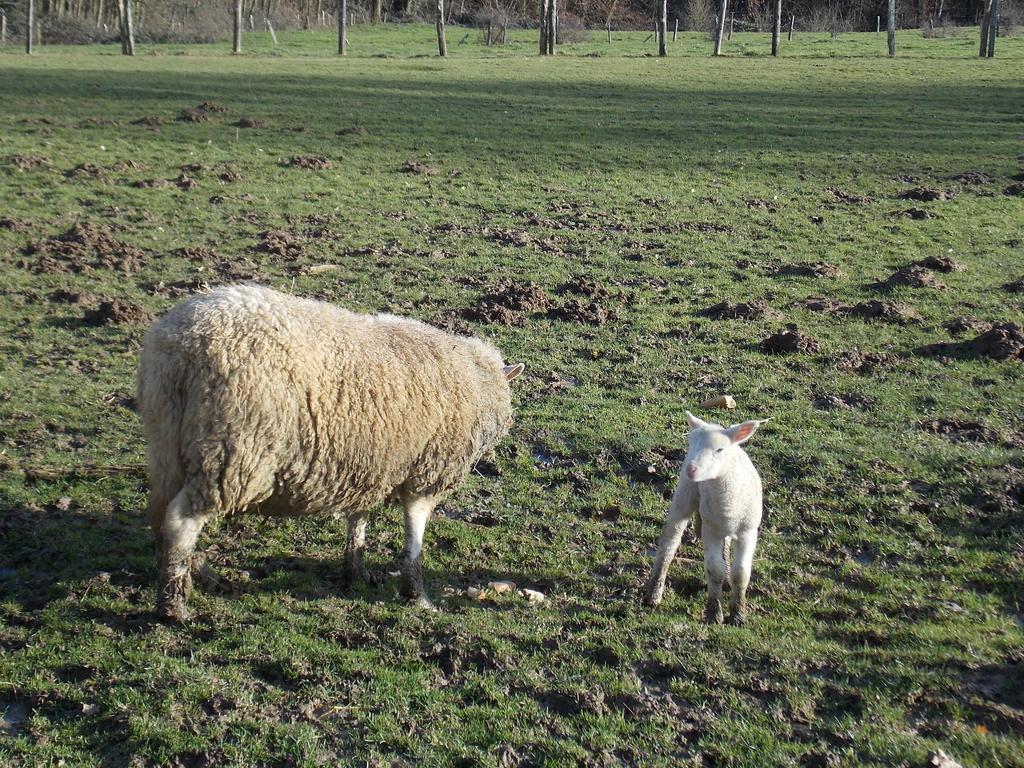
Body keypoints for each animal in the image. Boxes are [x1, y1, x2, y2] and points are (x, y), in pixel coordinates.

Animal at [139, 286, 524, 622]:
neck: (476, 381)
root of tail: (182, 344)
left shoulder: (370, 465)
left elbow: (358, 520)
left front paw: (357, 570)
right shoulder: (425, 474)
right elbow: (414, 536)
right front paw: (417, 595)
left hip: (168, 445)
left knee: (161, 517)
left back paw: (196, 576)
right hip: (232, 452)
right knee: (181, 522)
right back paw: (174, 607)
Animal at [638, 411, 770, 622]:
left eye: (720, 449)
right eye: (691, 444)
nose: (691, 469)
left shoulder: (748, 531)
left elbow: (741, 573)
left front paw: (738, 614)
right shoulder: (710, 530)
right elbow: (714, 570)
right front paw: (714, 614)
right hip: (684, 497)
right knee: (669, 543)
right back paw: (654, 593)